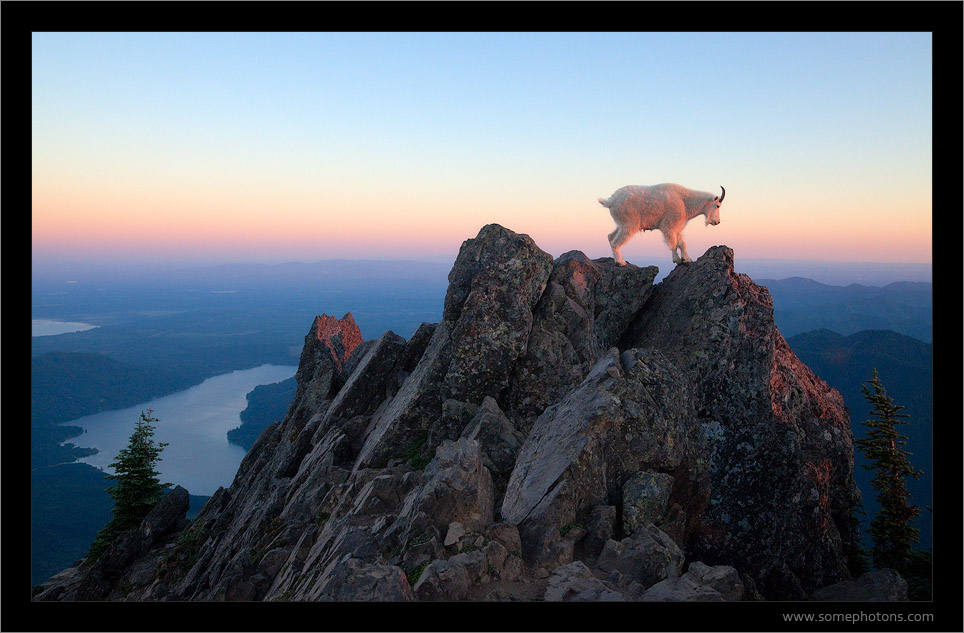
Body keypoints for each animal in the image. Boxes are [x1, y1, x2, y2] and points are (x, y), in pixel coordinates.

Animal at [596, 183, 724, 264]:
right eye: (717, 205)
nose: (717, 222)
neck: (685, 202)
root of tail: (611, 201)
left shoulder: (678, 227)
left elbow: (682, 243)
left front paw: (687, 259)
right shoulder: (668, 225)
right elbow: (673, 244)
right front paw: (677, 260)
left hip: (621, 224)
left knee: (610, 236)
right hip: (629, 224)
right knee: (615, 242)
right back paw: (620, 262)